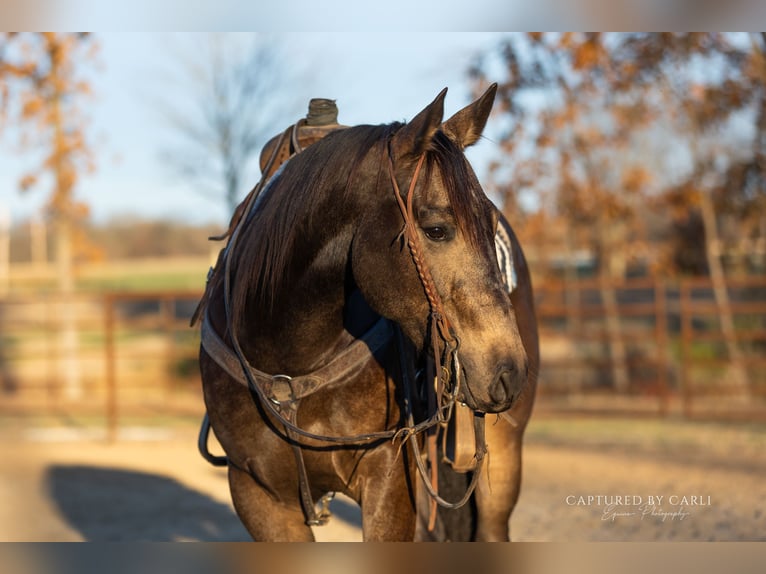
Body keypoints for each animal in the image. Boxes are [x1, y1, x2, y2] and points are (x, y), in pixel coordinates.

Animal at [195, 85, 539, 541]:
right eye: (436, 230)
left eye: (491, 223)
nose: (508, 370)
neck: (288, 355)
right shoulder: (257, 495)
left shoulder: (389, 479)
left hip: (502, 465)